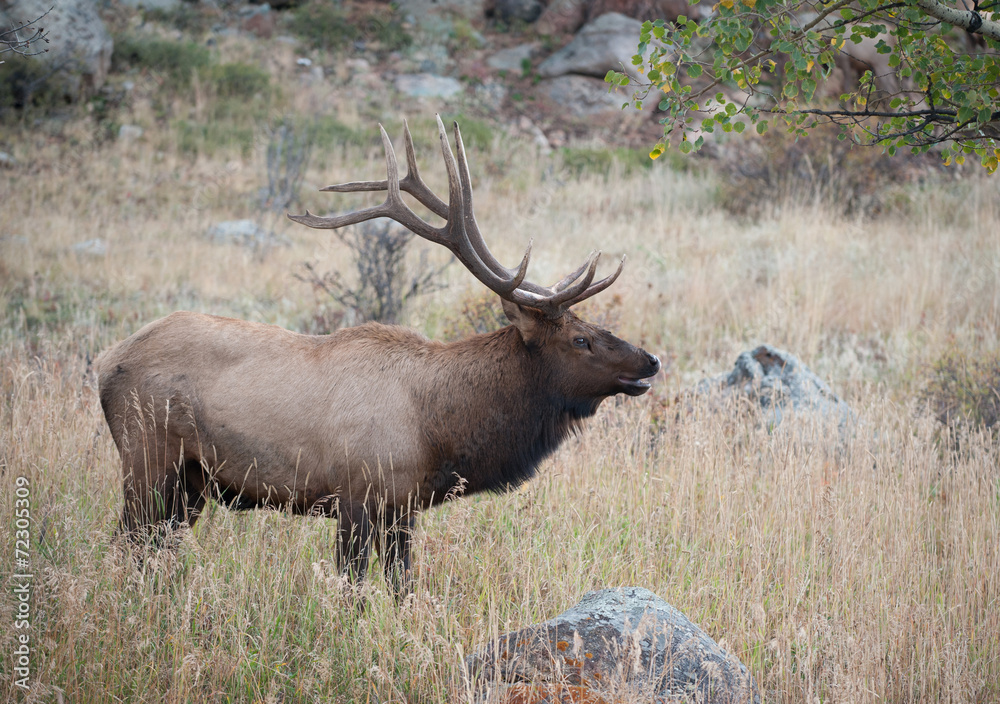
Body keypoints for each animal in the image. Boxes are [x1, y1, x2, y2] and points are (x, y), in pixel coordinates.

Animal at [97, 117, 660, 592]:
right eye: (580, 340)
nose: (651, 361)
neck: (438, 428)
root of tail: (104, 364)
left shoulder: (402, 507)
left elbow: (402, 587)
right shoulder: (356, 495)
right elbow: (352, 588)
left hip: (190, 484)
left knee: (152, 550)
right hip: (146, 459)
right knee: (123, 546)